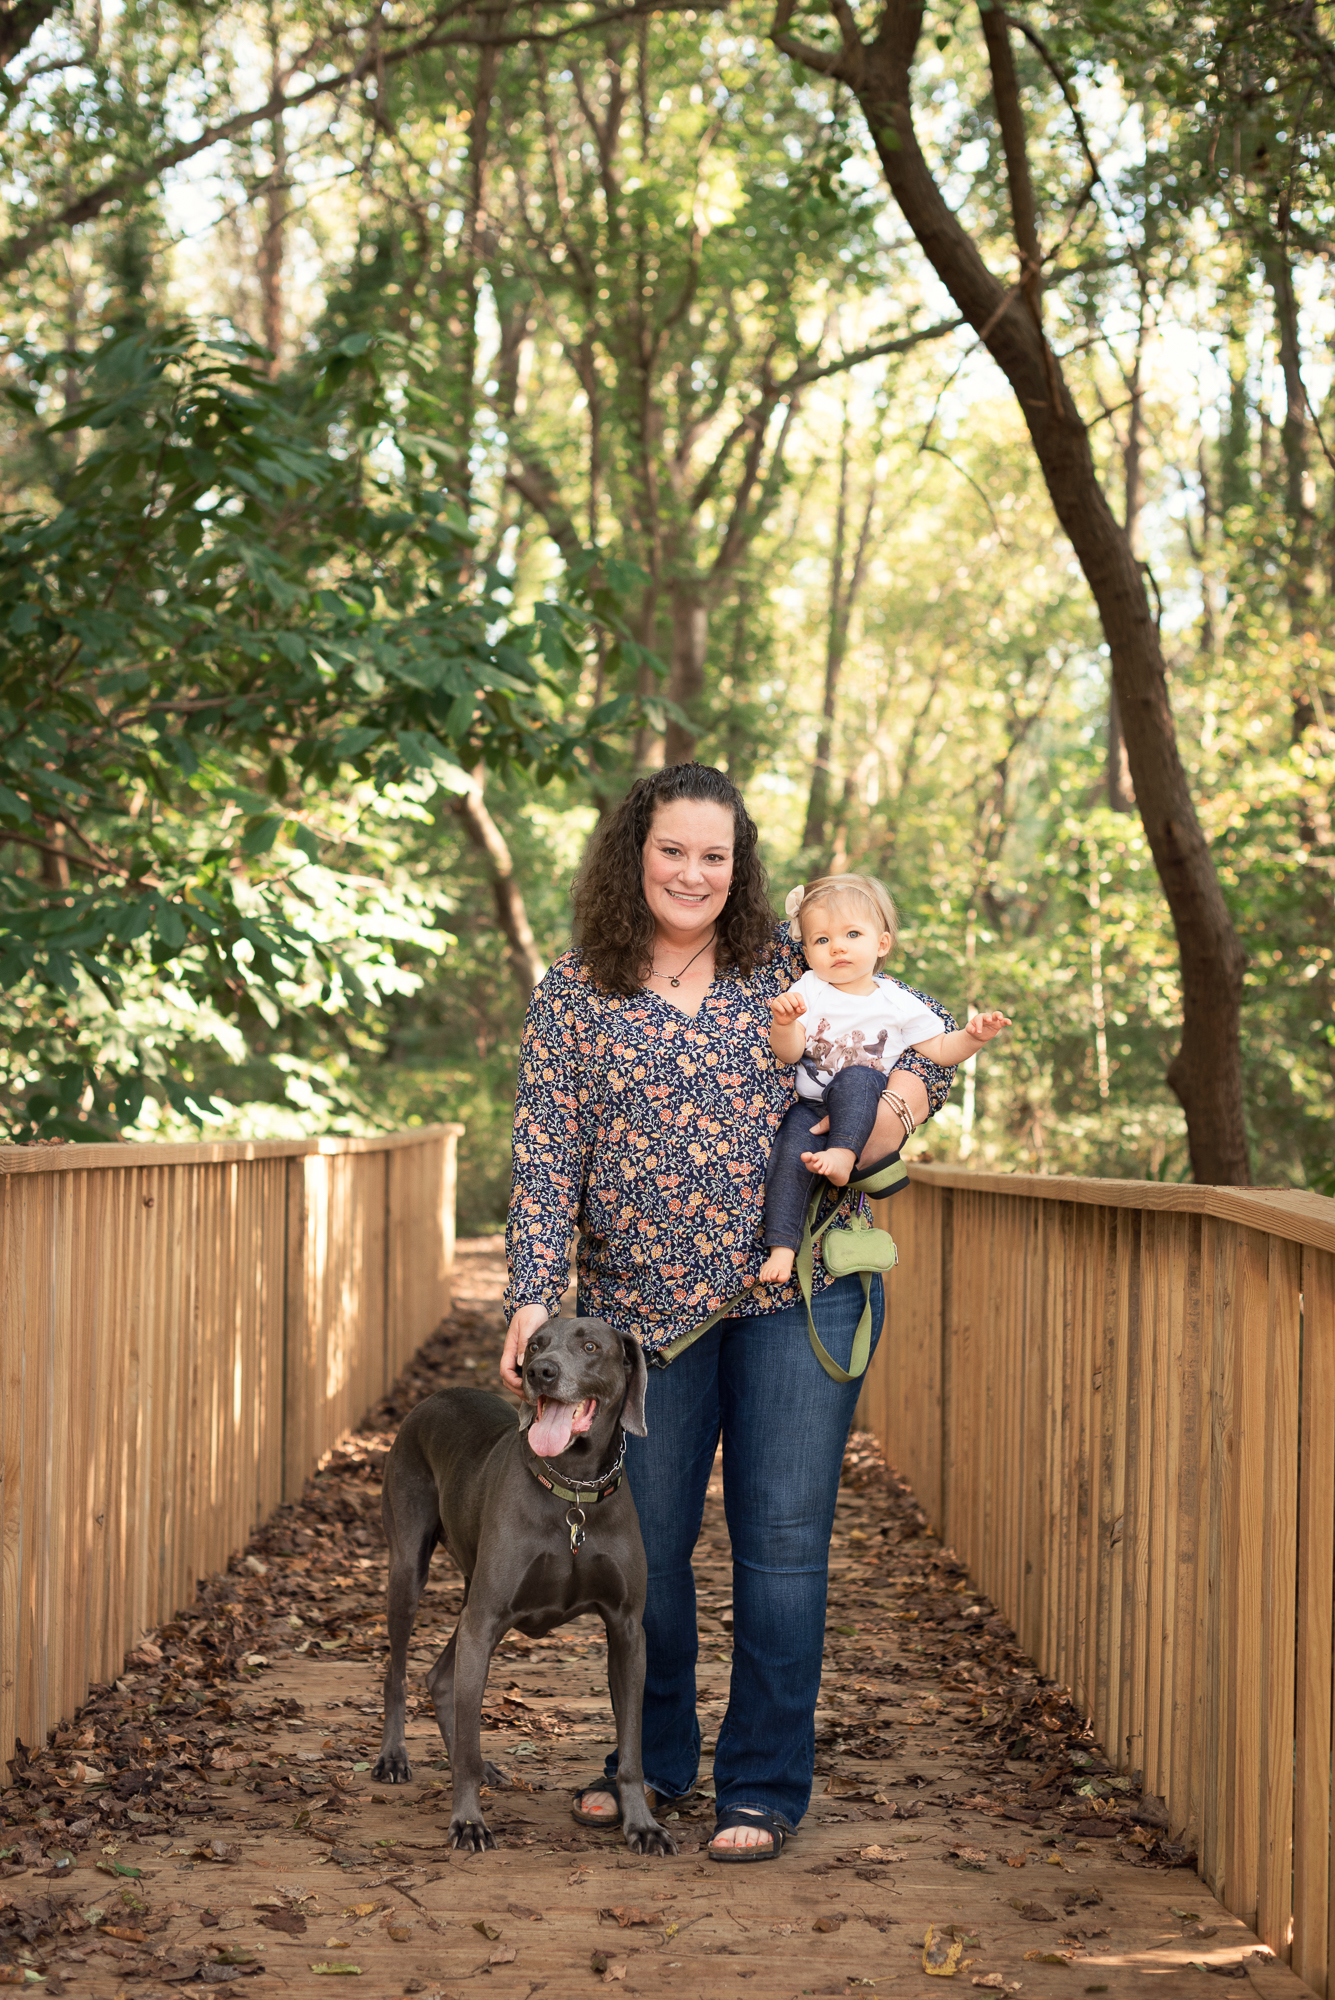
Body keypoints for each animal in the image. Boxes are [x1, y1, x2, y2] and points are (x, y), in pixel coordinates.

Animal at [369, 1312, 671, 1856]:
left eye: (590, 1346)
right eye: (534, 1345)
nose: (541, 1373)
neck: (573, 1491)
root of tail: (433, 1396)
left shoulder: (626, 1630)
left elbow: (633, 1753)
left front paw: (642, 1826)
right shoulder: (486, 1619)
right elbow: (467, 1742)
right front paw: (468, 1822)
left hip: (472, 1598)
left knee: (440, 1678)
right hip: (410, 1570)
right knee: (399, 1671)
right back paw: (394, 1757)